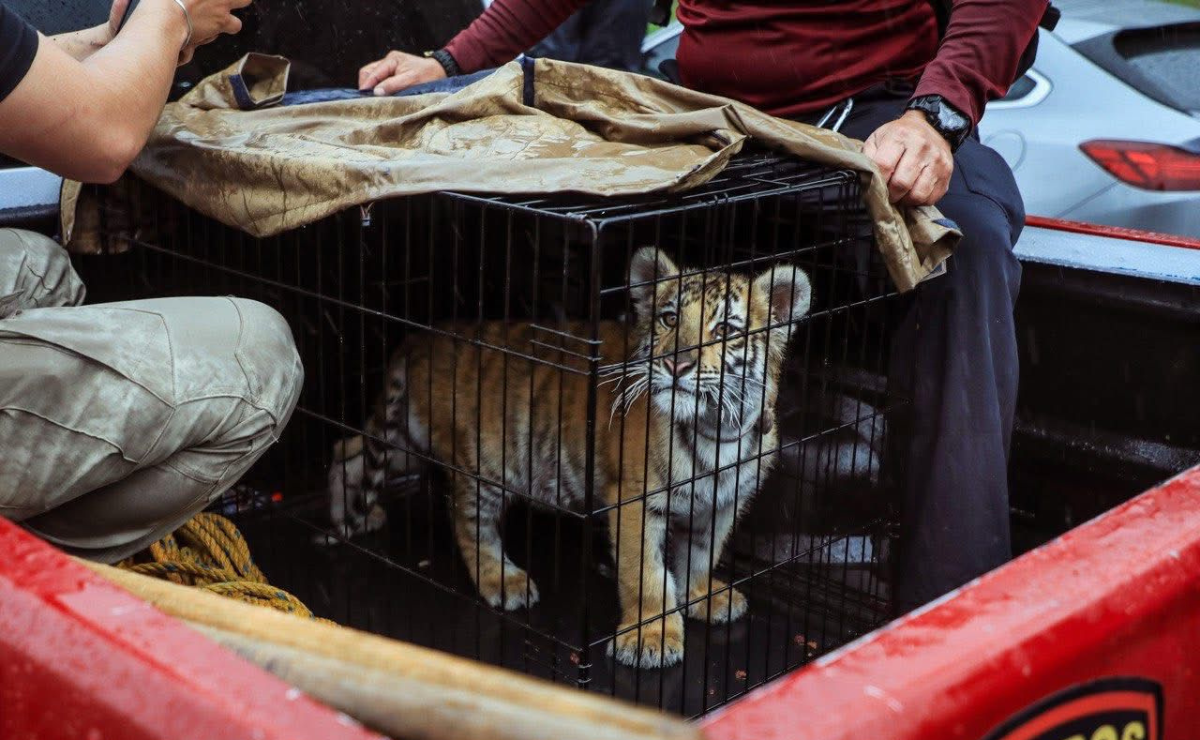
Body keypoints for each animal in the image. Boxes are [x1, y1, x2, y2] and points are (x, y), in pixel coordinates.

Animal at [324, 247, 812, 668]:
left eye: (726, 330)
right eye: (670, 319)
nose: (677, 367)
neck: (718, 427)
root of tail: (424, 336)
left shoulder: (724, 503)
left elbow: (701, 554)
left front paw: (703, 596)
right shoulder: (635, 501)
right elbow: (646, 573)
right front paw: (649, 639)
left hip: (407, 439)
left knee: (347, 449)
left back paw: (349, 516)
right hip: (482, 464)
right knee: (470, 526)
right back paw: (503, 580)